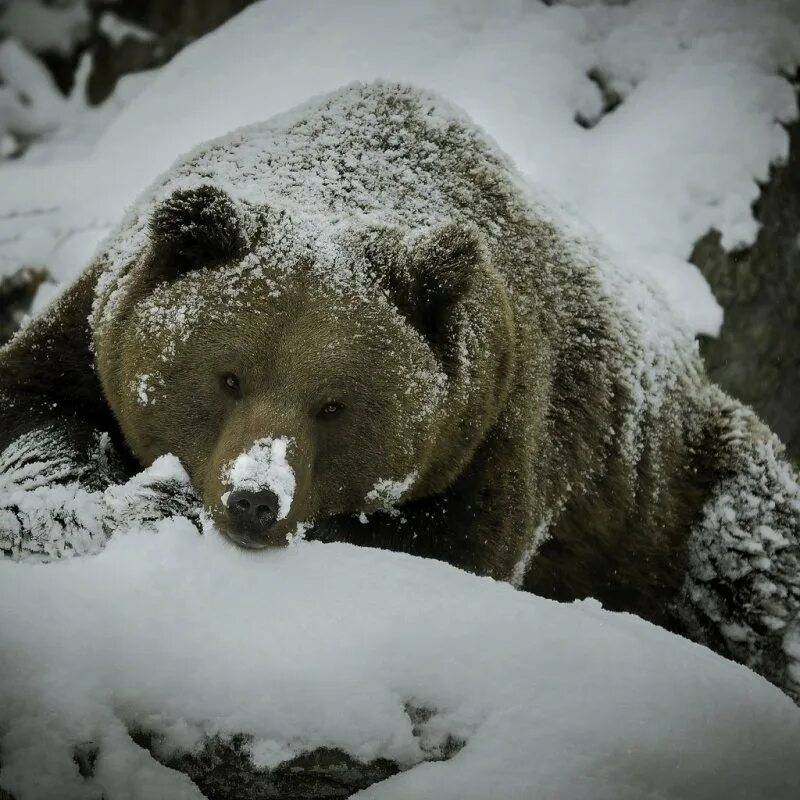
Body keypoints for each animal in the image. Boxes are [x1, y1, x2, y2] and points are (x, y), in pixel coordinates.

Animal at [1, 83, 800, 700]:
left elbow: (444, 546)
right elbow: (36, 412)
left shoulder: (496, 428)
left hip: (680, 486)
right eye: (228, 376)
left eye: (333, 404)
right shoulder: (89, 327)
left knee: (753, 562)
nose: (255, 500)